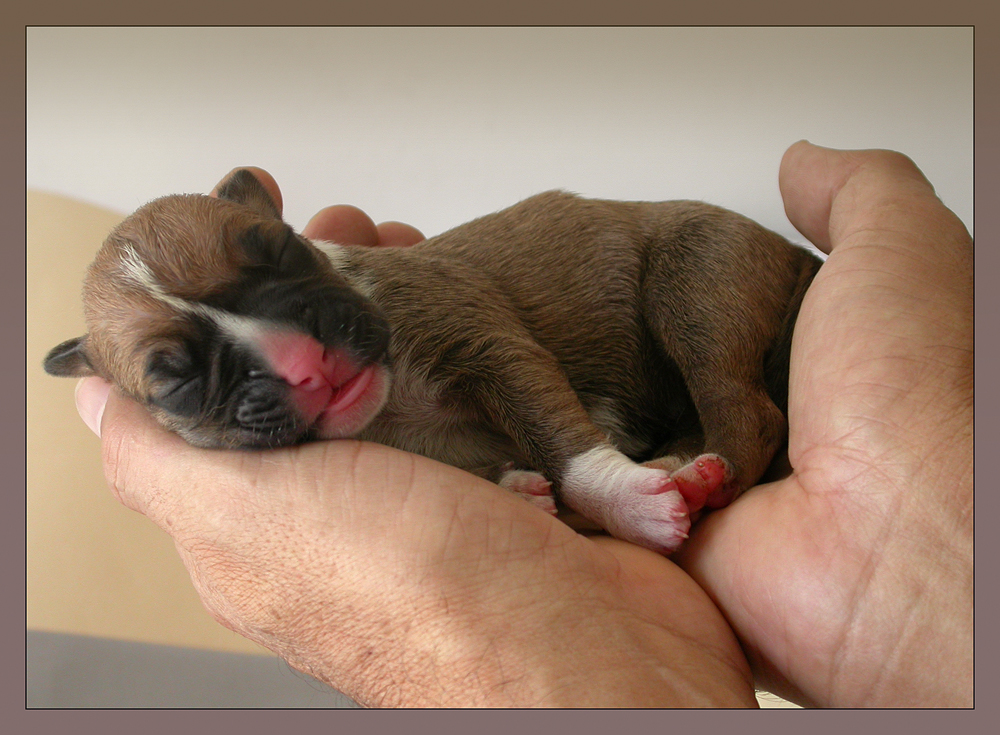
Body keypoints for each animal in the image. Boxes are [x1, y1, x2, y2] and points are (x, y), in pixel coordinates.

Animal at [43, 171, 820, 552]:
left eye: (284, 247)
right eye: (173, 383)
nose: (303, 363)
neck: (395, 405)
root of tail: (790, 251)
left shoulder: (491, 346)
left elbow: (565, 442)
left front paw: (623, 501)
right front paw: (520, 491)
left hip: (693, 284)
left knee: (747, 411)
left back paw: (698, 473)